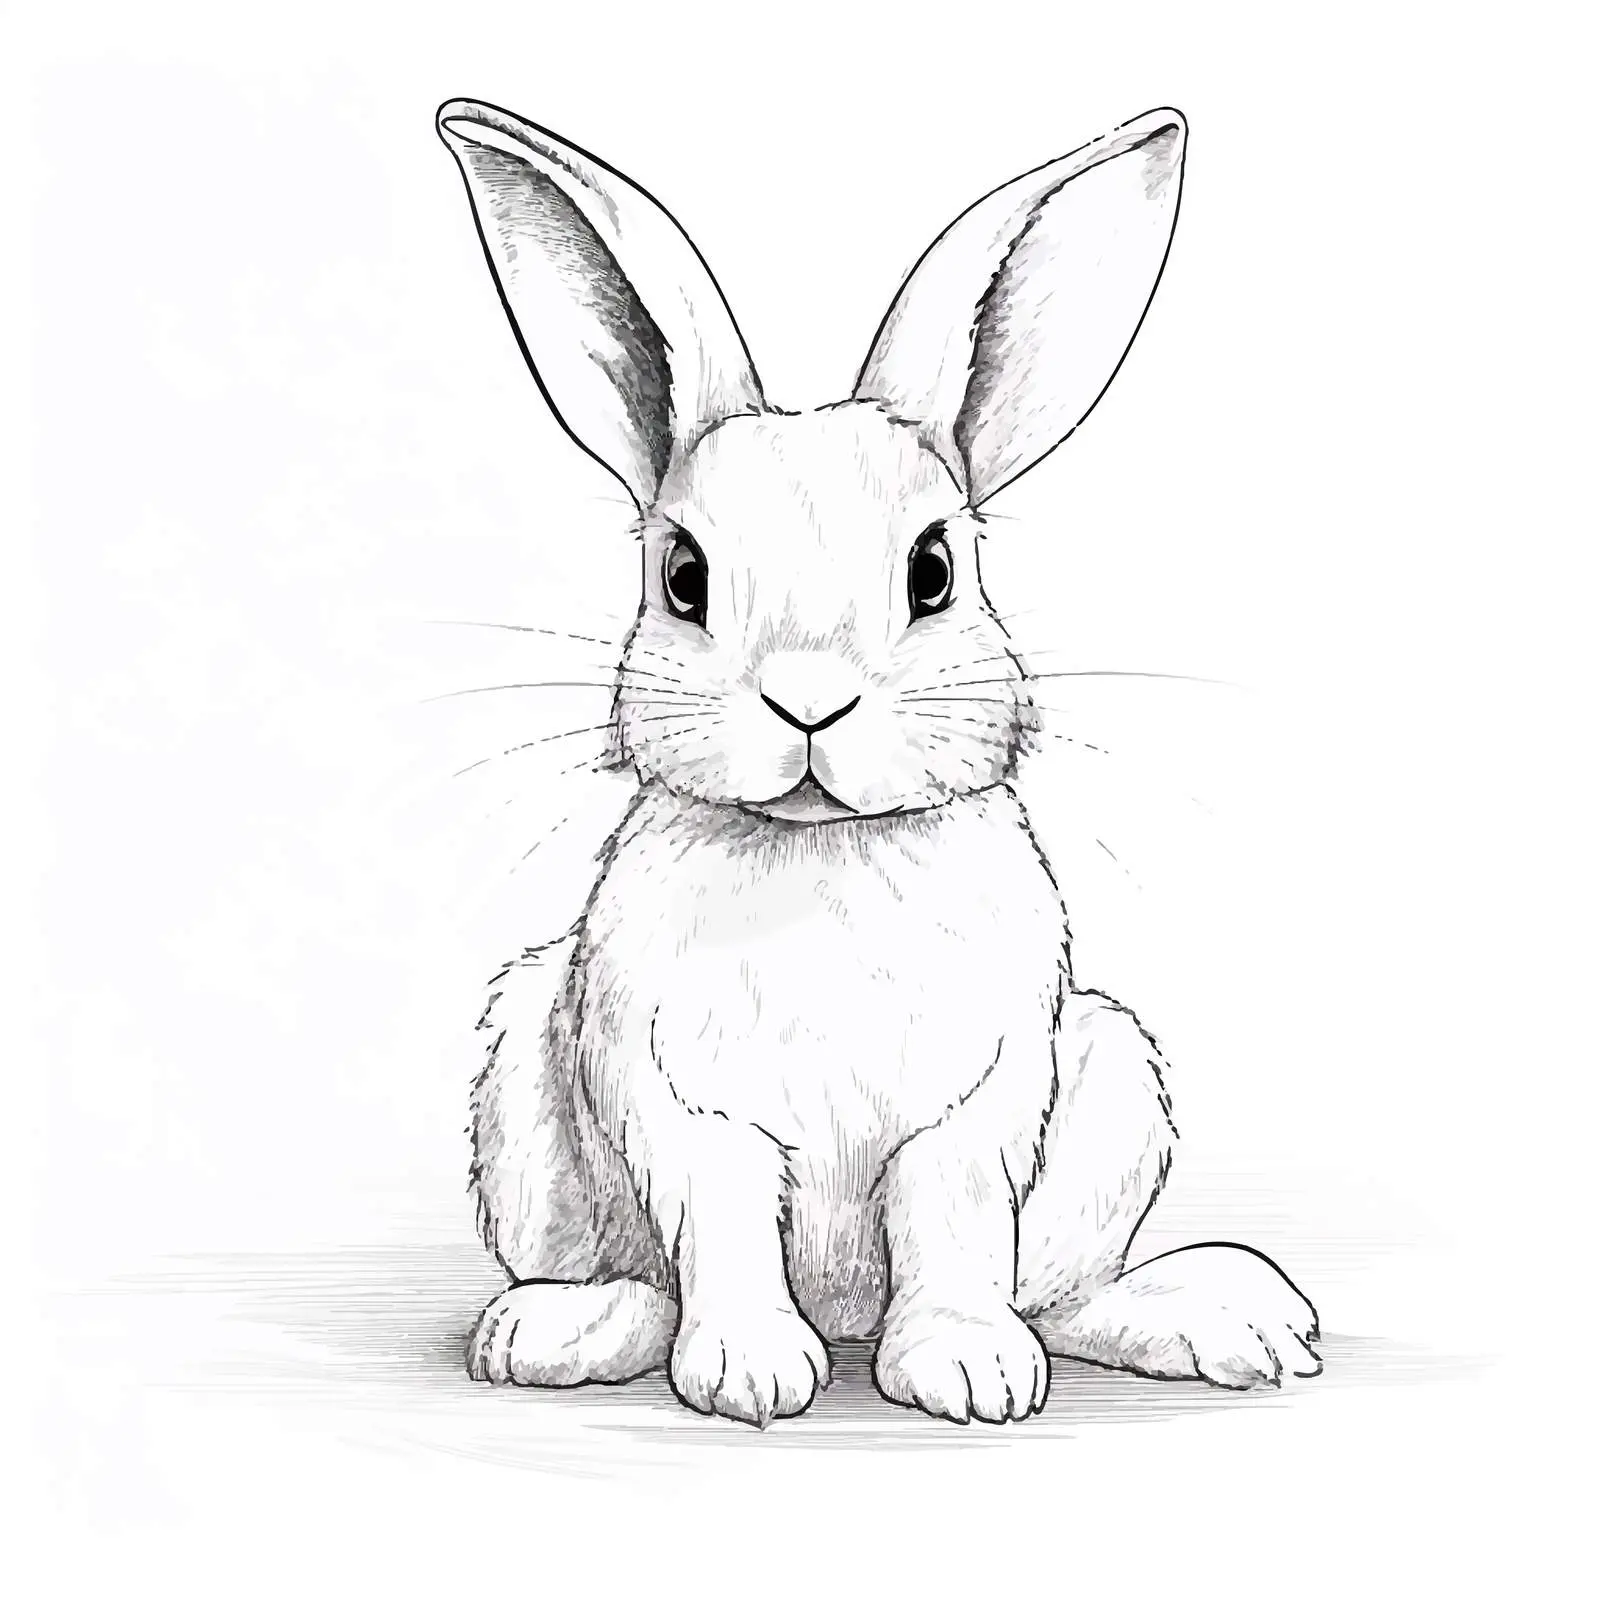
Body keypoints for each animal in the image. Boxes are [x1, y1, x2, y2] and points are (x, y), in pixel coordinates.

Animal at [436, 98, 1321, 1426]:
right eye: (683, 575)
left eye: (934, 570)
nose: (809, 700)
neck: (822, 856)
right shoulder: (679, 1100)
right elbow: (723, 1223)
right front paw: (751, 1370)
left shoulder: (976, 1105)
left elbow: (947, 1221)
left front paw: (967, 1370)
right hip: (524, 1080)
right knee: (632, 1271)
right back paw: (558, 1328)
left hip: (1116, 1076)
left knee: (1065, 1288)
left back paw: (1228, 1314)